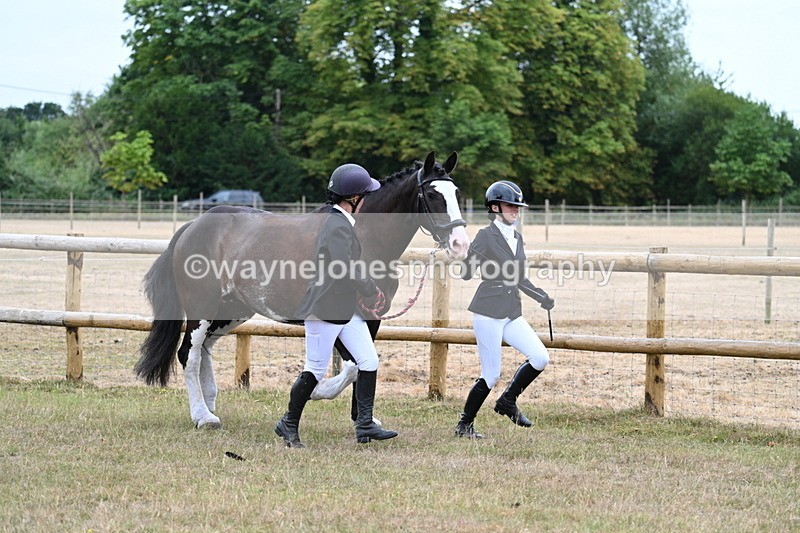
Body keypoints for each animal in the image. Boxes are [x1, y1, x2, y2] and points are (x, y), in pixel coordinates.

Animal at [135, 151, 470, 428]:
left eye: (456, 192)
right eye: (431, 193)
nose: (460, 245)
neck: (362, 236)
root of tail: (193, 225)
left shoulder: (372, 317)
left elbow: (365, 365)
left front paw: (363, 419)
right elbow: (350, 367)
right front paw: (318, 391)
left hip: (232, 310)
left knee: (203, 350)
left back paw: (210, 405)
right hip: (201, 308)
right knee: (188, 355)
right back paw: (203, 417)